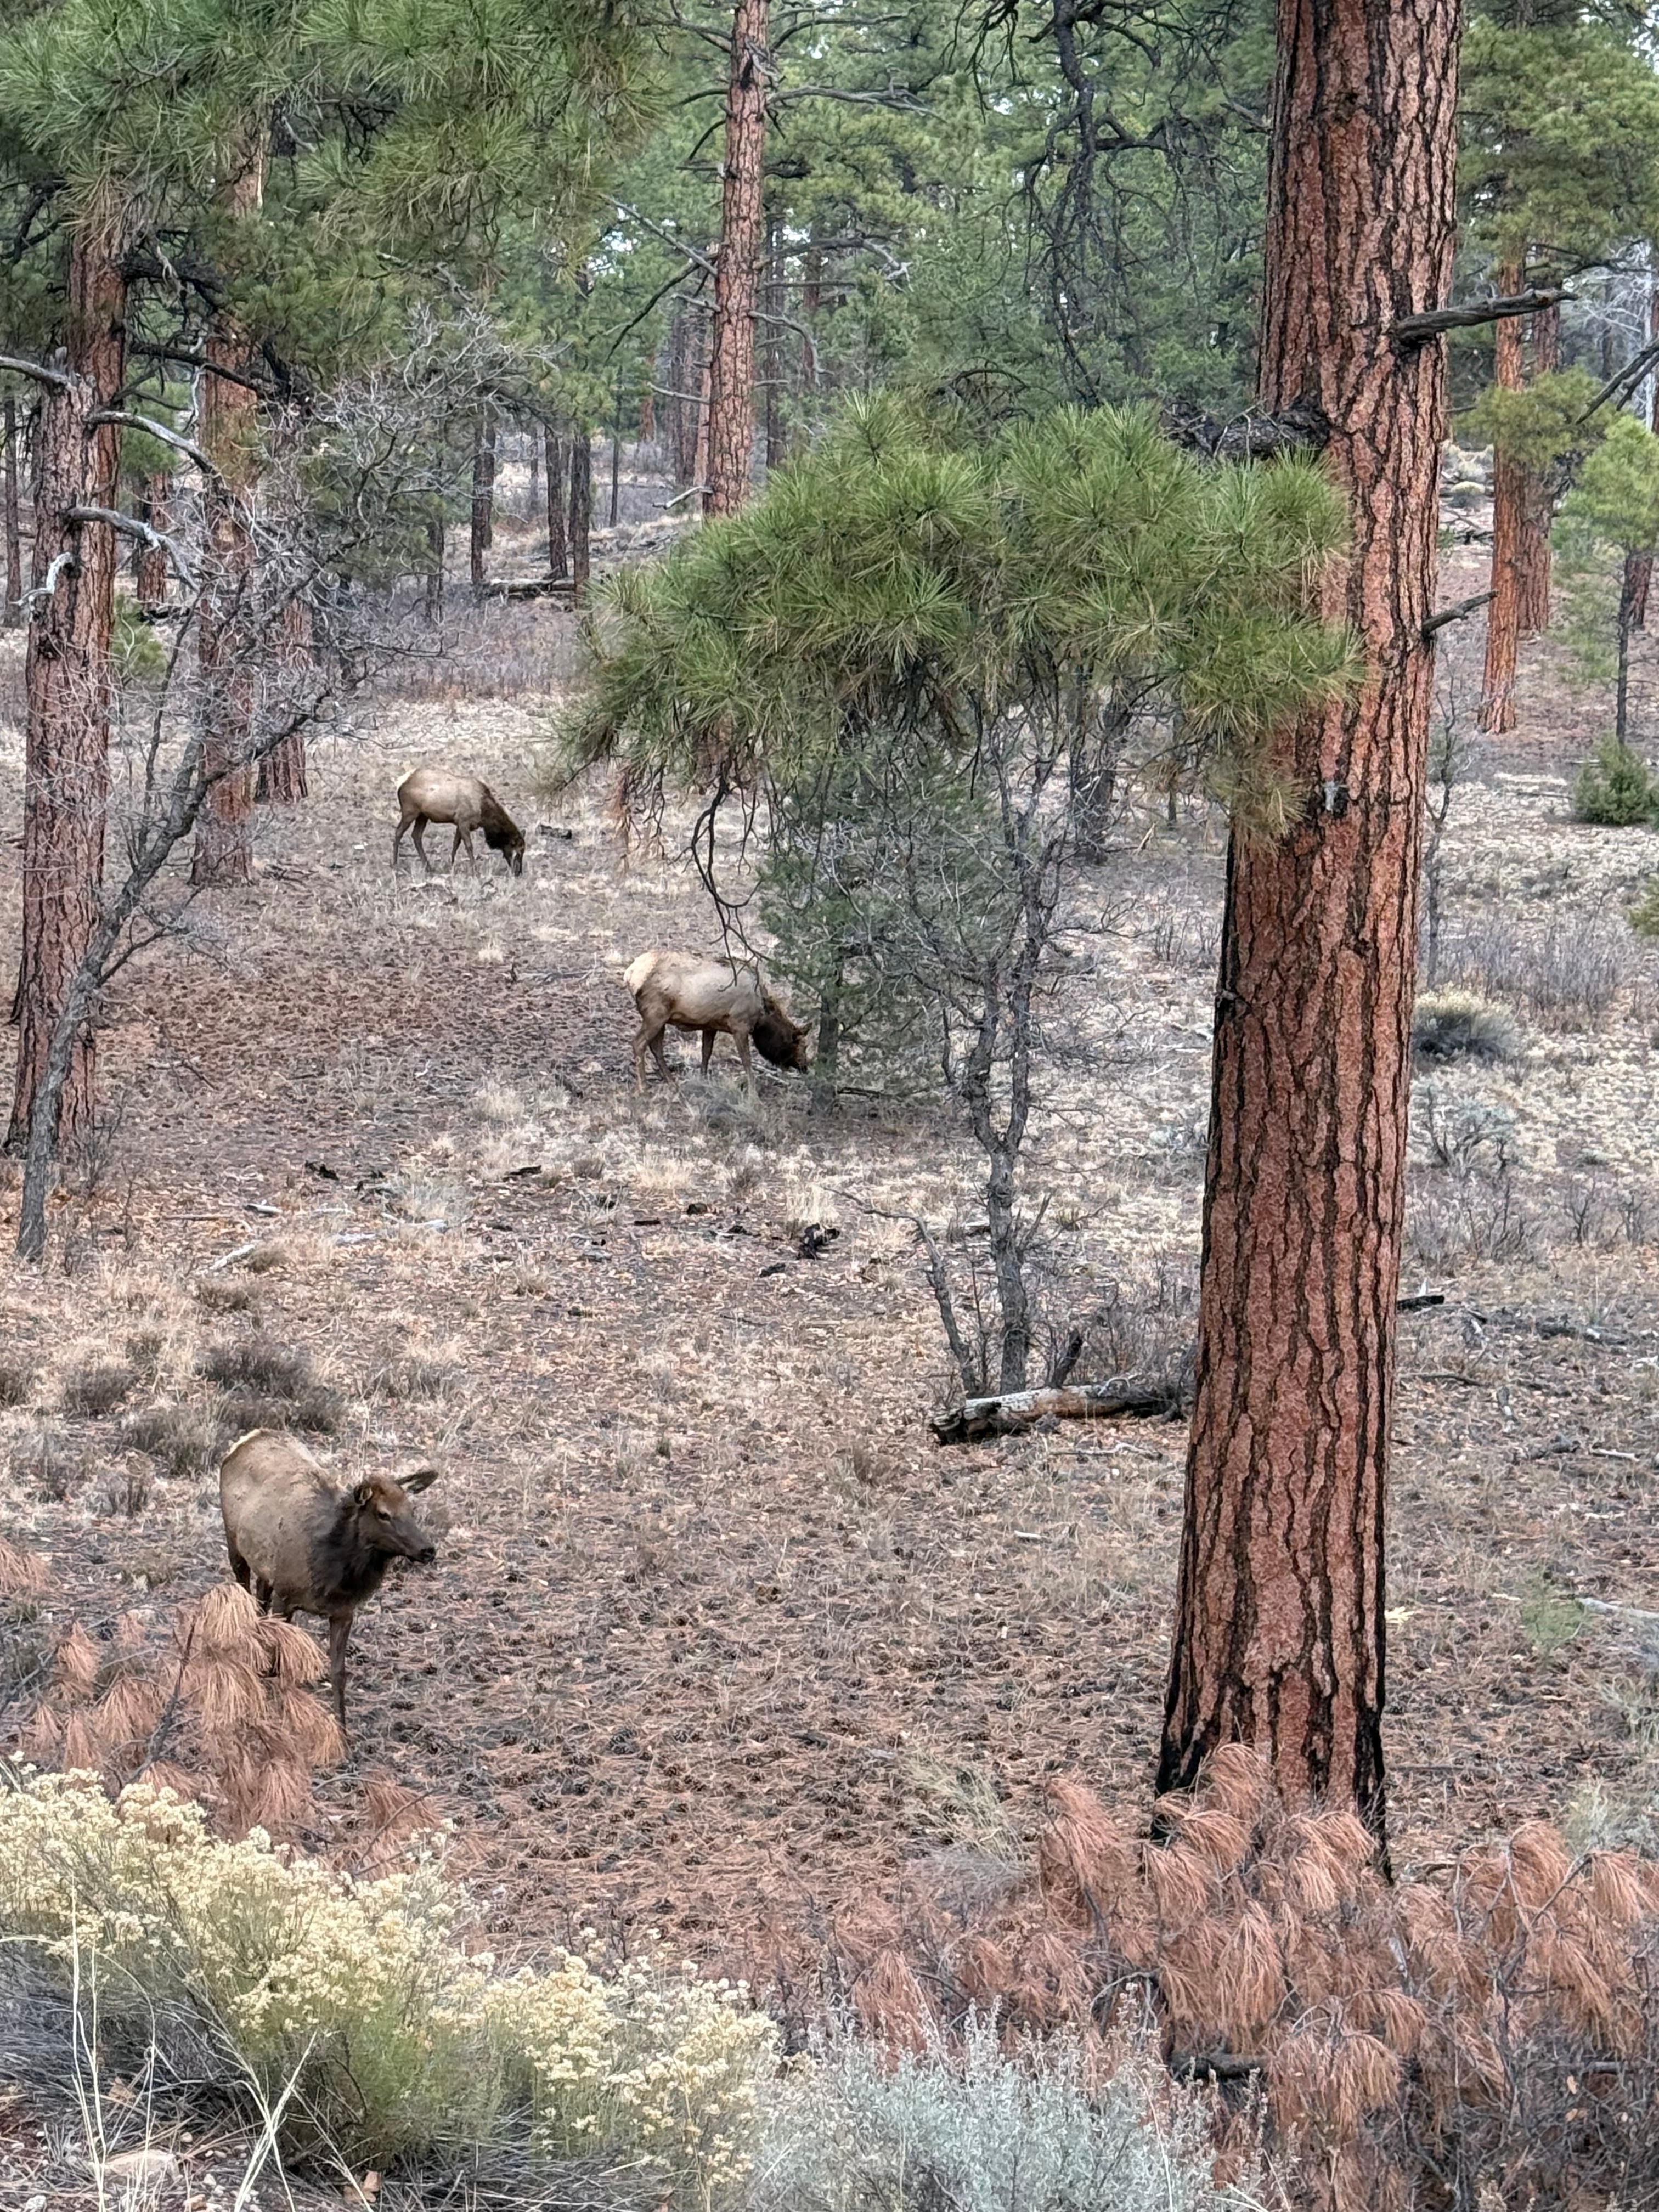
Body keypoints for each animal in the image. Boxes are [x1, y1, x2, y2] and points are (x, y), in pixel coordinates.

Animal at [219, 1428, 440, 1733]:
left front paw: (343, 1731)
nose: (428, 1550)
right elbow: (280, 1660)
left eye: (412, 1510)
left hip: (264, 1565)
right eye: (383, 1513)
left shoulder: (344, 1612)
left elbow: (338, 1672)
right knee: (244, 1591)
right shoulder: (285, 1595)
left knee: (260, 1597)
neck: (332, 1579)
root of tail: (249, 1438)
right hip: (235, 1546)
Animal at [393, 766, 524, 877]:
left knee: (416, 835)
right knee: (399, 832)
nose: (519, 872)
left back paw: (428, 867)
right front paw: (475, 871)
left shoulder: (460, 823)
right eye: (519, 853)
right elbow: (469, 846)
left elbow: (456, 844)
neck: (484, 813)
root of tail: (400, 785)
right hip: (410, 811)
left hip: (423, 816)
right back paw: (395, 864)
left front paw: (451, 865)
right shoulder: (464, 821)